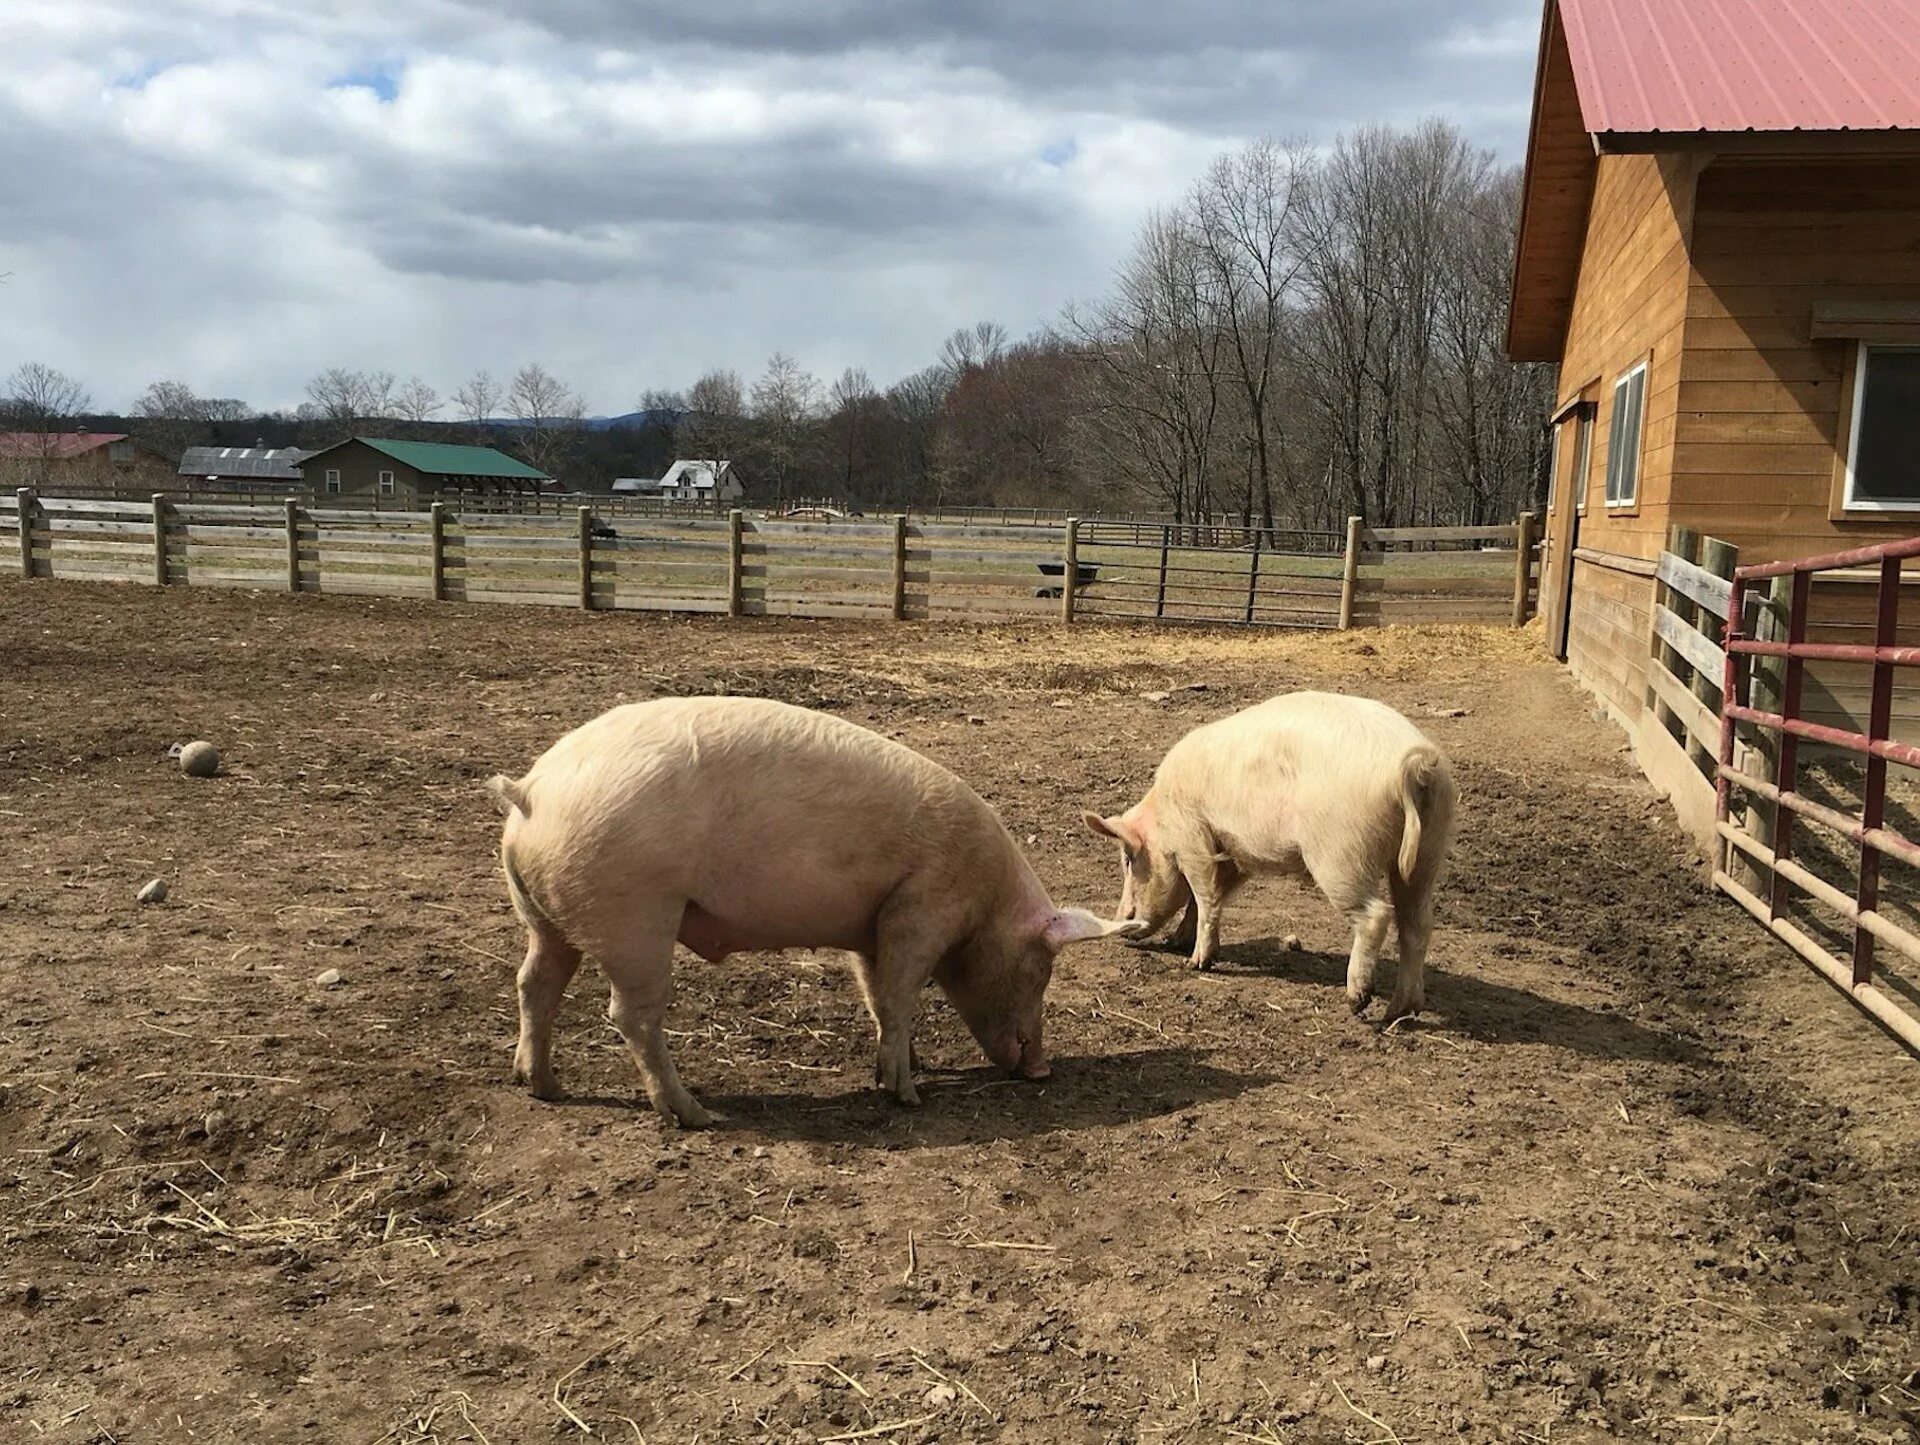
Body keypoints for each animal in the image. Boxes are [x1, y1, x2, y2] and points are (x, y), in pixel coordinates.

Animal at [487, 698, 1136, 1128]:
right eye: (1041, 970)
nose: (1043, 1071)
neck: (985, 901)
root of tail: (531, 790)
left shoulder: (872, 926)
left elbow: (878, 996)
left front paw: (909, 1065)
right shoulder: (921, 906)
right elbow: (901, 995)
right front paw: (908, 1095)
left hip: (546, 917)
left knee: (533, 983)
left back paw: (542, 1087)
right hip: (636, 917)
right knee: (629, 1014)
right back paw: (696, 1114)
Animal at [1082, 694, 1451, 1020]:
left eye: (1129, 859)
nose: (1122, 921)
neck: (1162, 813)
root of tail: (1413, 764)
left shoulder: (1192, 837)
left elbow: (1204, 894)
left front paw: (1196, 962)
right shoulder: (1234, 850)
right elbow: (1211, 896)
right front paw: (1177, 942)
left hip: (1341, 855)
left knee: (1376, 915)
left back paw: (1357, 1002)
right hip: (1427, 852)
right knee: (1417, 923)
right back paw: (1400, 1012)